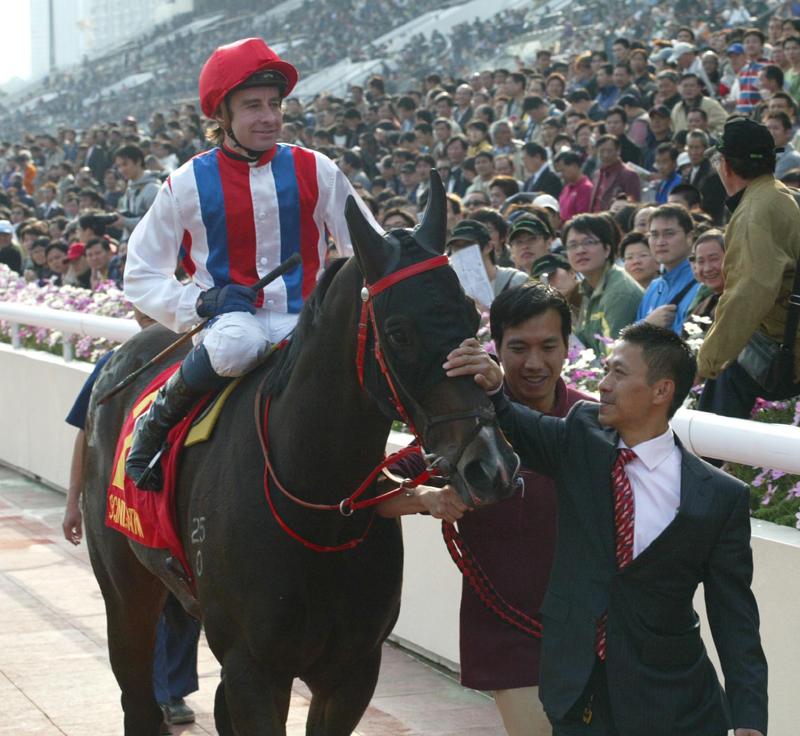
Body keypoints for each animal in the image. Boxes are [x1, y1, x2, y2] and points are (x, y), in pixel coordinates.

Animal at [83, 171, 520, 735]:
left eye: (470, 310)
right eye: (398, 332)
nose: (490, 465)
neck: (317, 500)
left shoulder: (354, 669)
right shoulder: (253, 667)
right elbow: (142, 267)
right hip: (125, 588)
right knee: (136, 696)